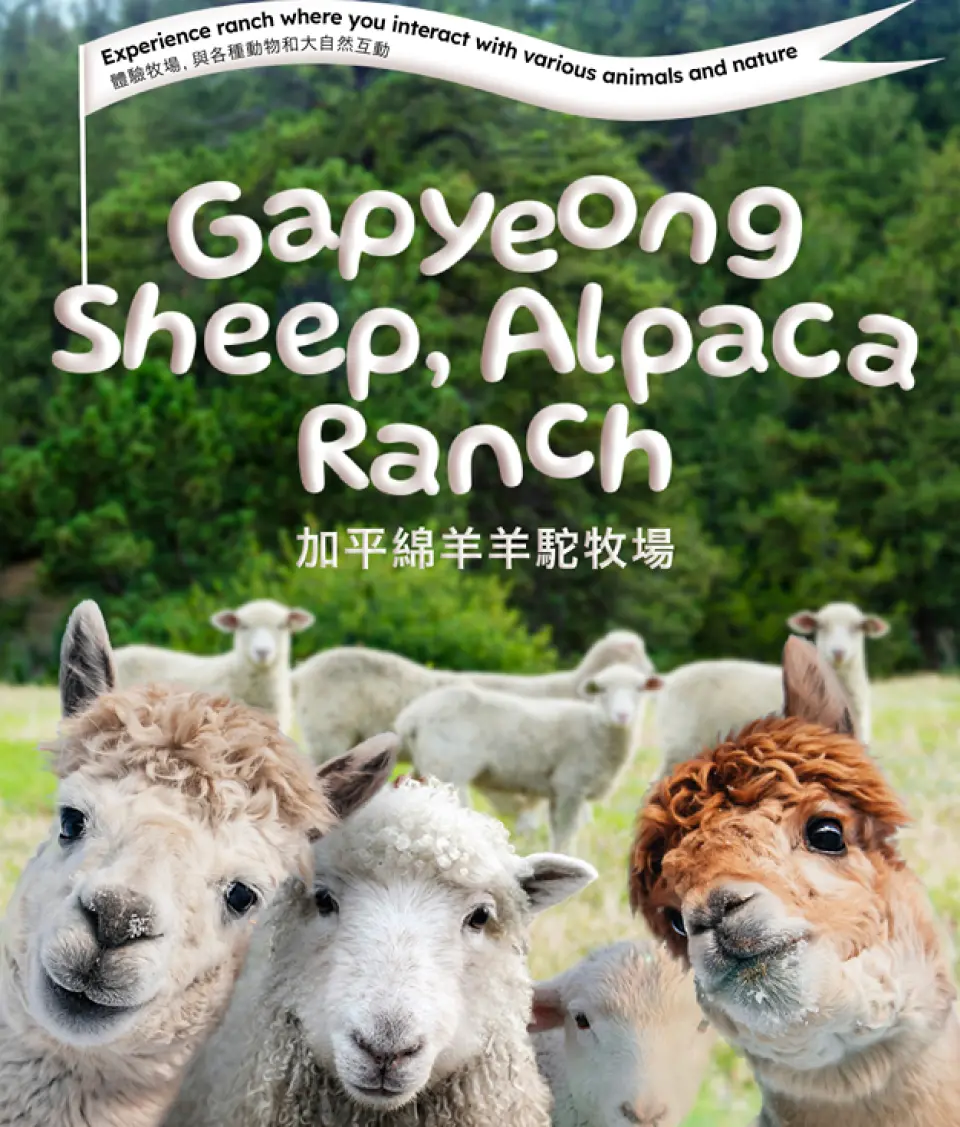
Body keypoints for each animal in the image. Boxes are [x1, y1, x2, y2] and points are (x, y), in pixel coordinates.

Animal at [395, 663, 664, 852]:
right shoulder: (571, 785)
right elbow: (566, 832)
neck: (598, 728)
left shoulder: (558, 791)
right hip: (448, 768)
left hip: (426, 766)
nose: (623, 715)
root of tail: (411, 717)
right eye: (602, 690)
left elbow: (559, 831)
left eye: (640, 689)